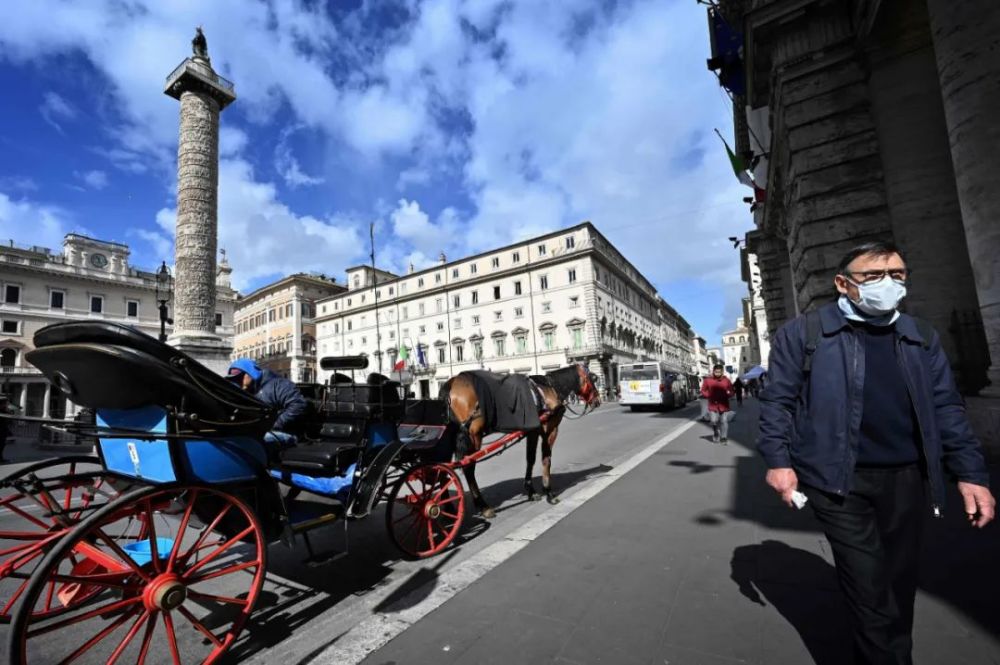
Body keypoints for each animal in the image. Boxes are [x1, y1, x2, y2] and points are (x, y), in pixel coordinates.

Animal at [440, 364, 596, 520]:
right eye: (594, 378)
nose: (597, 400)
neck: (550, 388)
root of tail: (452, 383)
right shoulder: (550, 431)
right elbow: (546, 460)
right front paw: (548, 492)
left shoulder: (533, 431)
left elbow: (530, 459)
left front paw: (531, 491)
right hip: (474, 436)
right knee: (468, 468)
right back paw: (483, 506)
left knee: (444, 471)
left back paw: (448, 509)